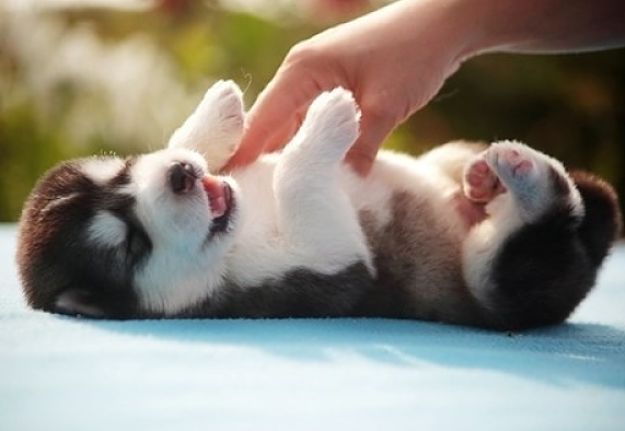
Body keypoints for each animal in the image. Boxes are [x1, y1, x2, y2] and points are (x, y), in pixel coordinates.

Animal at [17, 81, 620, 330]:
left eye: (122, 171)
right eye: (132, 245)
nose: (182, 176)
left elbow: (193, 138)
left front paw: (215, 116)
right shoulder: (326, 267)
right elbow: (294, 178)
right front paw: (327, 121)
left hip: (448, 159)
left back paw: (487, 174)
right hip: (495, 283)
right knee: (538, 237)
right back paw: (529, 181)